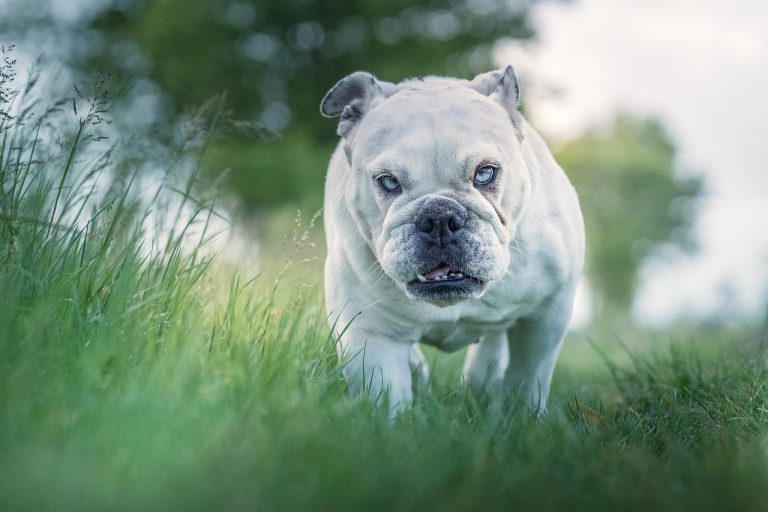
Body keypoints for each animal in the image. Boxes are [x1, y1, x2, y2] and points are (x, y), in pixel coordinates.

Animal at [320, 65, 584, 416]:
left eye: (485, 173)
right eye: (388, 181)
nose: (439, 218)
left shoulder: (544, 320)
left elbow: (527, 380)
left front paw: (524, 418)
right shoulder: (370, 334)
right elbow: (386, 398)